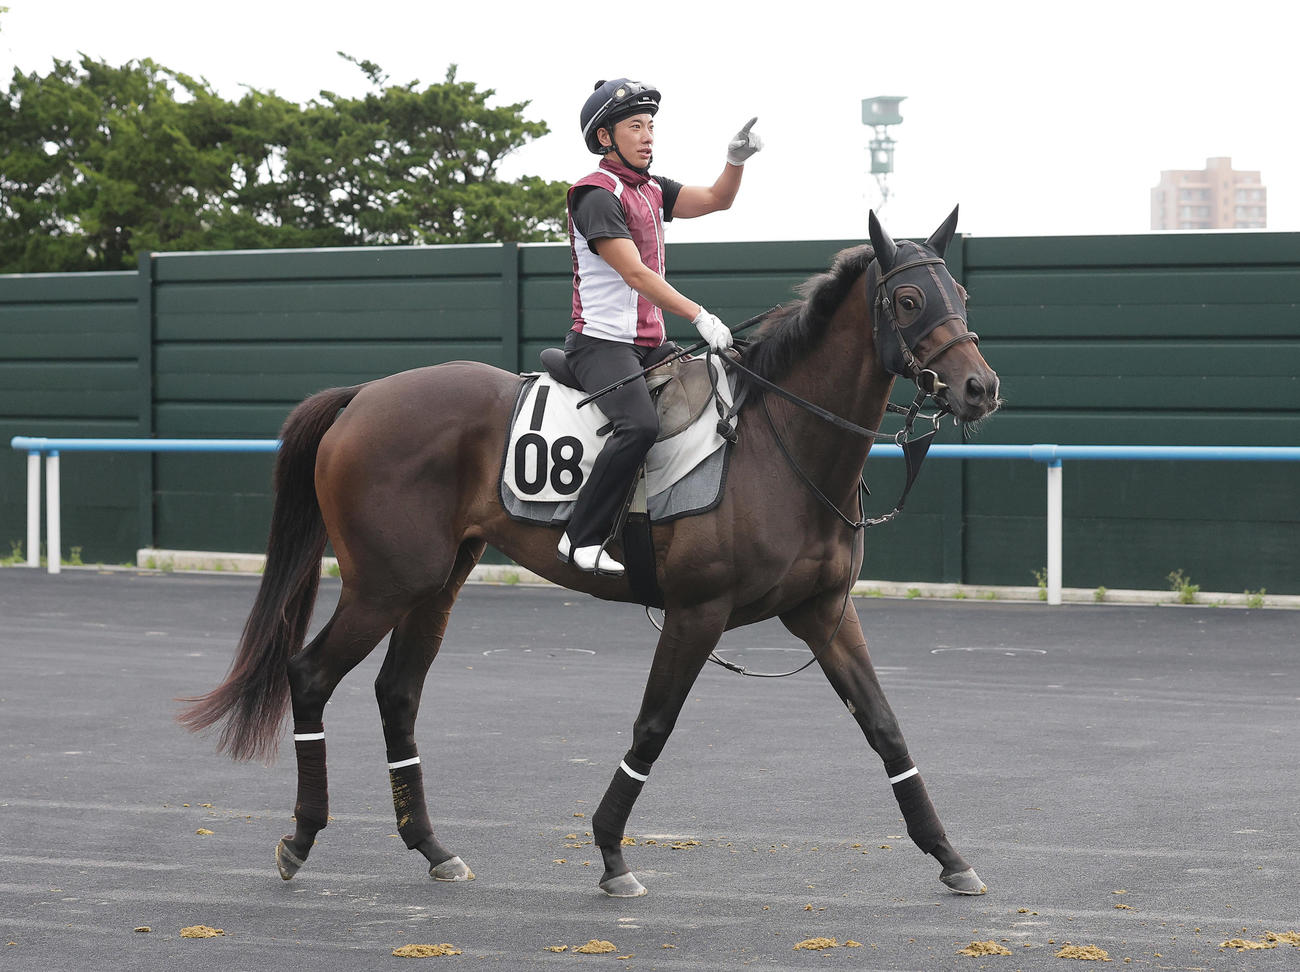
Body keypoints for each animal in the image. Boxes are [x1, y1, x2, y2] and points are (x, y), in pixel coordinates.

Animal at [180, 207, 1001, 898]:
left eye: (959, 291)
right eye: (907, 301)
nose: (979, 387)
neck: (779, 445)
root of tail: (362, 397)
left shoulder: (823, 612)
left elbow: (885, 727)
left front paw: (949, 855)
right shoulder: (697, 613)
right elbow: (652, 727)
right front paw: (610, 851)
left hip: (435, 585)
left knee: (397, 694)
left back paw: (432, 848)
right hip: (383, 585)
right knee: (310, 675)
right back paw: (302, 837)